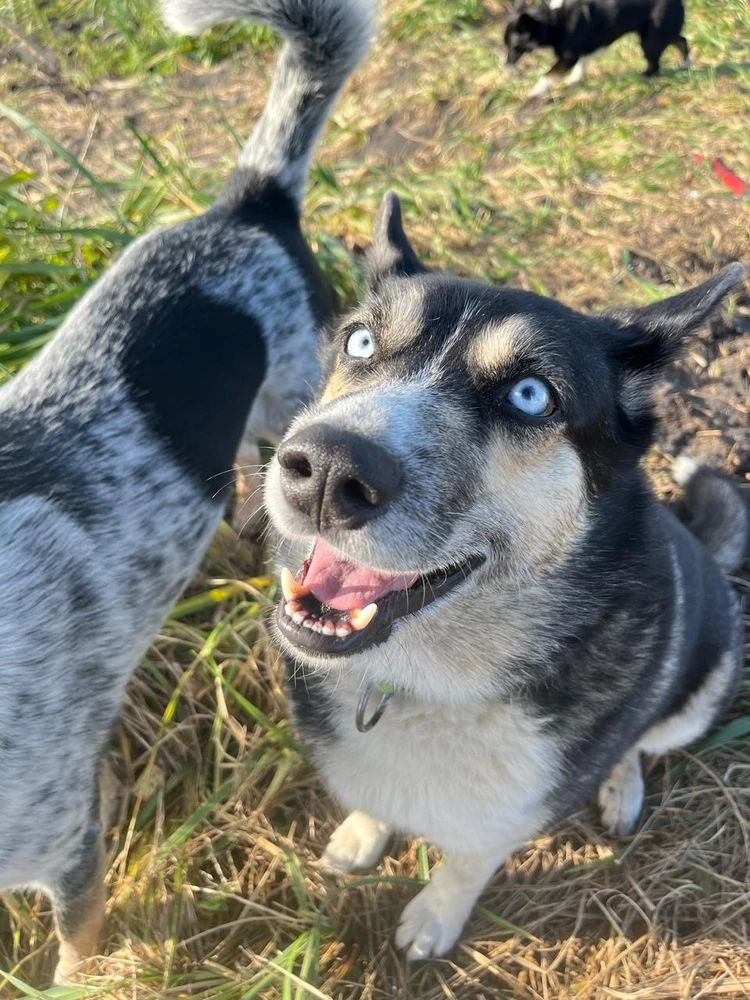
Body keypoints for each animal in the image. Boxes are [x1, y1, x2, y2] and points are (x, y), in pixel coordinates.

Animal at [264, 195, 748, 960]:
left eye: (529, 395)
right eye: (359, 344)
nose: (327, 470)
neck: (425, 685)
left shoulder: (508, 818)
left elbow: (468, 863)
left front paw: (433, 920)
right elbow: (375, 799)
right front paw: (361, 835)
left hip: (697, 697)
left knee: (640, 743)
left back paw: (622, 791)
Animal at [506, 0, 692, 98]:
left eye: (514, 47)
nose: (506, 66)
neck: (551, 21)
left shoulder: (568, 57)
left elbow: (547, 76)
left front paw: (534, 92)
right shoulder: (588, 47)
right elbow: (582, 63)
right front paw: (575, 78)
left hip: (650, 41)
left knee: (654, 65)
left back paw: (641, 78)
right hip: (658, 33)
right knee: (682, 41)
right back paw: (686, 64)